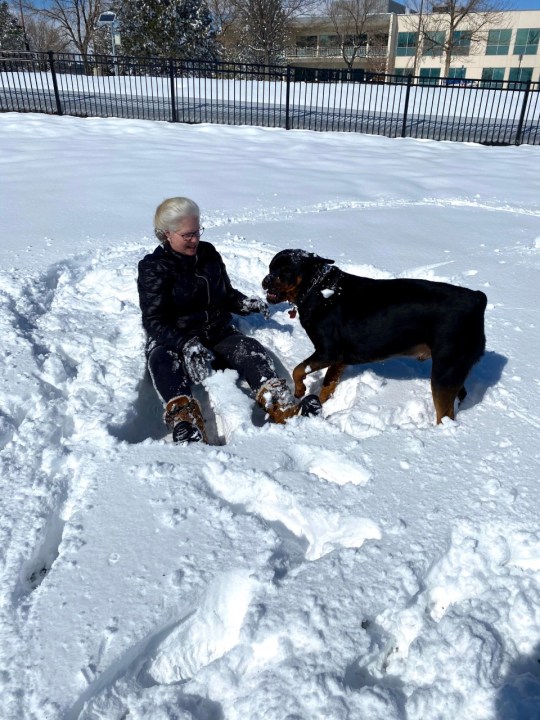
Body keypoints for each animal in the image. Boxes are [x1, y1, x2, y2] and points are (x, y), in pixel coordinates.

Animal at [262, 252, 490, 424]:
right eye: (270, 268)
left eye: (286, 271)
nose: (266, 280)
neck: (317, 290)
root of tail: (478, 299)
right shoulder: (338, 360)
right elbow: (327, 385)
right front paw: (321, 404)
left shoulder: (328, 352)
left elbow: (298, 369)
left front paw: (300, 390)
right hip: (454, 368)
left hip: (444, 371)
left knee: (445, 414)